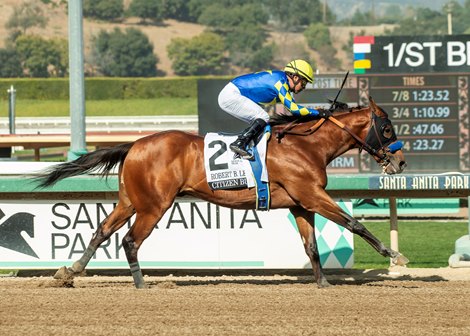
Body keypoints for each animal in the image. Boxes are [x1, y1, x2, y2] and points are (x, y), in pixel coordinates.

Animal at [34, 96, 408, 288]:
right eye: (387, 128)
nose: (401, 162)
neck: (307, 146)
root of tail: (134, 144)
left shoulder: (301, 204)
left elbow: (312, 246)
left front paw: (324, 285)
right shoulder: (313, 195)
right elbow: (354, 224)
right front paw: (394, 255)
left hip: (130, 201)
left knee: (102, 231)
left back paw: (69, 272)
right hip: (154, 205)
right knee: (129, 240)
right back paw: (141, 284)